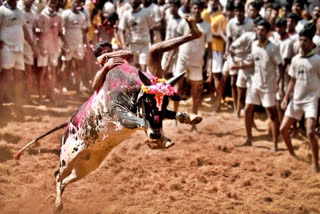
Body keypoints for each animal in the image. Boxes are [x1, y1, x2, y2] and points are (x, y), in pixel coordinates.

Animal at [14, 62, 202, 212]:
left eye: (165, 102)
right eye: (147, 101)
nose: (155, 133)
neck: (128, 88)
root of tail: (67, 127)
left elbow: (171, 114)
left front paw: (191, 118)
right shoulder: (119, 114)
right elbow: (140, 121)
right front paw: (159, 140)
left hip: (86, 166)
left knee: (65, 180)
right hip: (68, 158)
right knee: (57, 176)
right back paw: (58, 204)